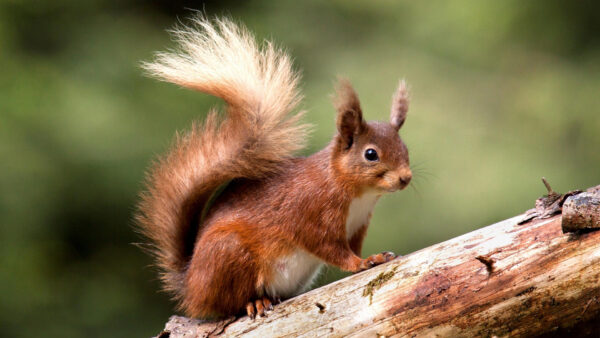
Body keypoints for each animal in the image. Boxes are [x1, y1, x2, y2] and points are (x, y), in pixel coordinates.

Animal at [138, 17, 412, 320]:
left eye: (405, 148)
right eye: (371, 154)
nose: (406, 178)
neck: (356, 193)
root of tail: (191, 288)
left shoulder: (358, 225)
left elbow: (353, 246)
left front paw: (375, 256)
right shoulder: (311, 212)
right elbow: (331, 249)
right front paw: (362, 262)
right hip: (229, 253)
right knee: (229, 304)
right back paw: (255, 302)